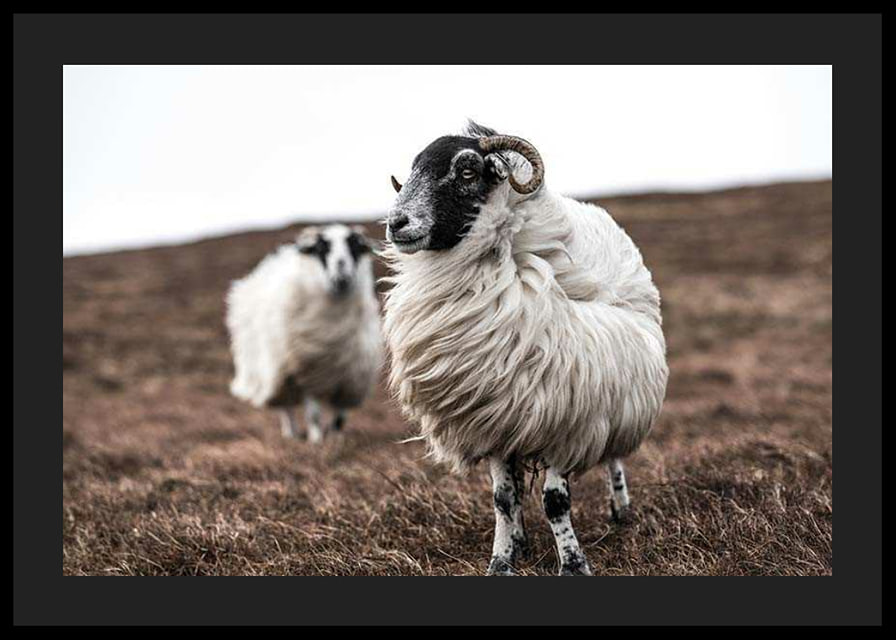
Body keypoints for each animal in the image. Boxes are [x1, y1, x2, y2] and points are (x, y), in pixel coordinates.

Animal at [227, 224, 383, 443]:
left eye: (354, 247)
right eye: (321, 249)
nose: (341, 275)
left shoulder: (349, 378)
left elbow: (340, 417)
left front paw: (336, 440)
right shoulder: (307, 374)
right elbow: (314, 414)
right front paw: (316, 441)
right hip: (278, 373)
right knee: (286, 408)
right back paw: (291, 434)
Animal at [381, 122, 669, 575]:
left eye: (466, 171)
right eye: (412, 170)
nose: (396, 223)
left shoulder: (567, 416)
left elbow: (555, 501)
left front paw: (573, 565)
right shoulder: (496, 416)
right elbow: (503, 499)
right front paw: (501, 562)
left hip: (615, 394)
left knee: (613, 458)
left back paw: (621, 510)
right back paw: (521, 540)